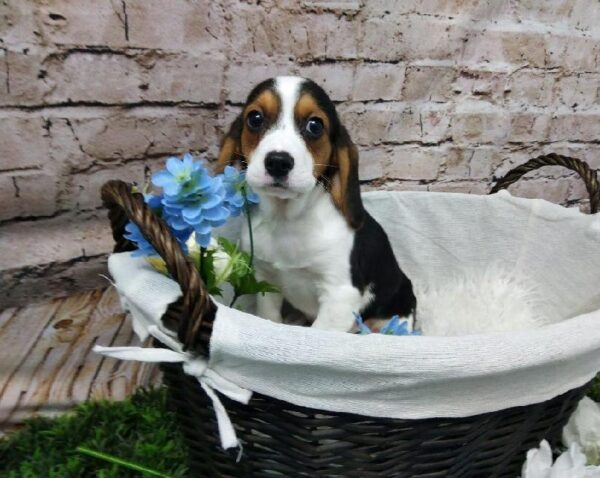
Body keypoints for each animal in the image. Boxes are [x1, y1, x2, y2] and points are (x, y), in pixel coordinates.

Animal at [217, 76, 418, 332]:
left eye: (315, 125)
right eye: (255, 119)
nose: (278, 162)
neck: (286, 220)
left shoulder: (340, 296)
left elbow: (319, 332)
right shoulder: (266, 279)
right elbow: (269, 317)